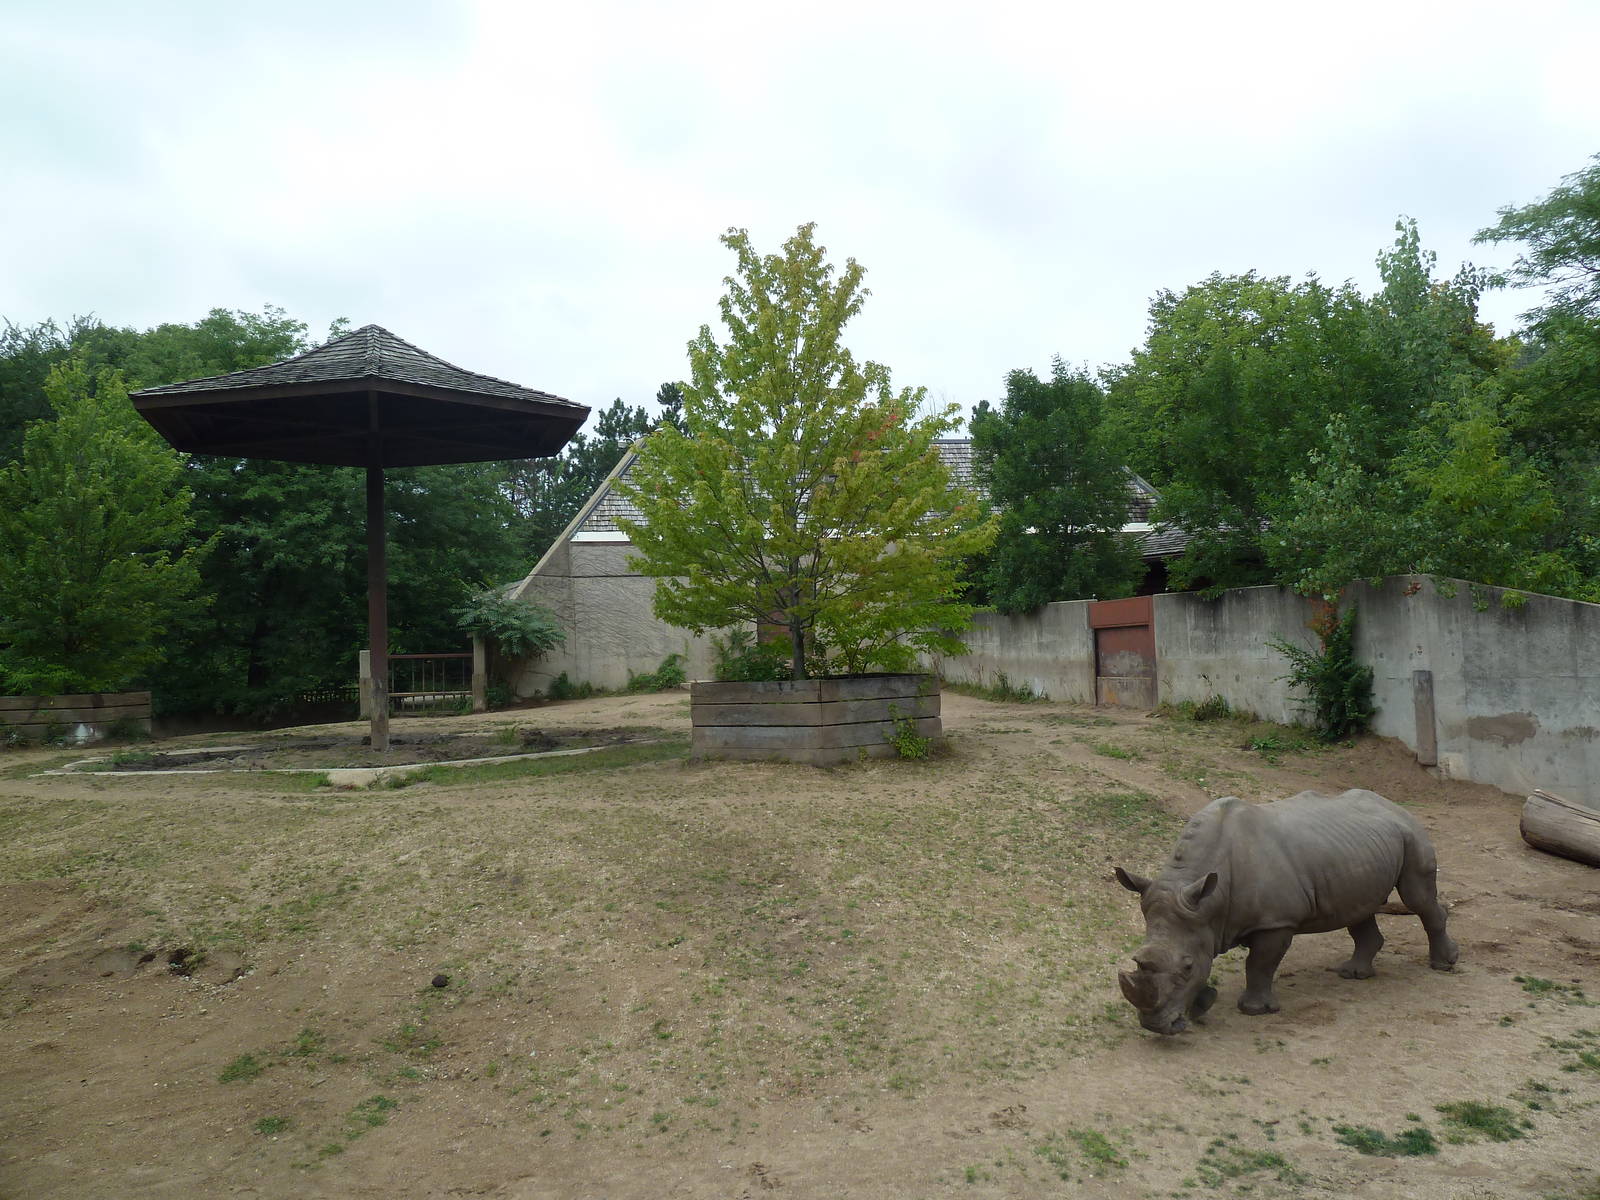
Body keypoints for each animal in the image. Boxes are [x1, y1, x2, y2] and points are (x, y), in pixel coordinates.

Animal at [1114, 789, 1458, 1035]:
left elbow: (1259, 964)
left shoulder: (1276, 922)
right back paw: (1353, 974)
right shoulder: (1200, 920)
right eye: (1137, 961)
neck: (1209, 902)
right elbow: (1210, 961)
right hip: (1362, 846)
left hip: (1411, 834)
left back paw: (1444, 964)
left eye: (1185, 967)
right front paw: (1202, 1004)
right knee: (1360, 909)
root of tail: (1395, 804)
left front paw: (1254, 1010)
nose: (1154, 1027)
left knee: (1417, 899)